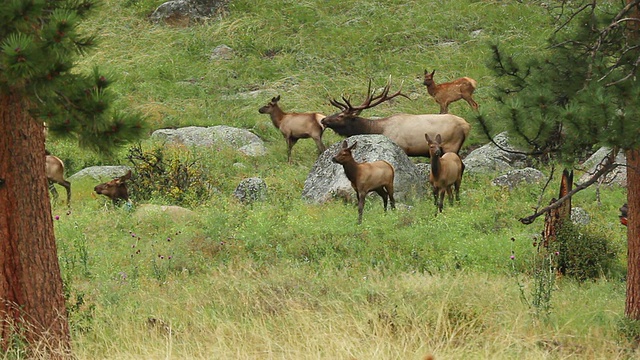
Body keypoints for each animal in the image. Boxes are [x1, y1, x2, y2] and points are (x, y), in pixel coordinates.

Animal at [320, 78, 470, 157]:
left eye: (341, 115)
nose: (323, 119)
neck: (378, 129)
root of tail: (466, 125)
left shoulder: (401, 147)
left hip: (451, 145)